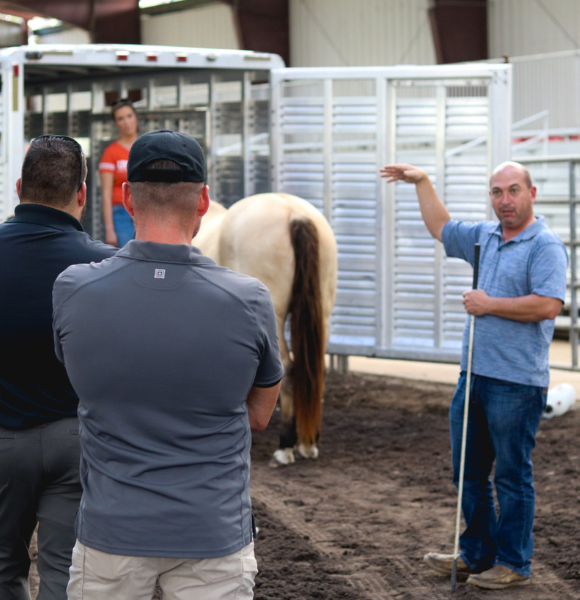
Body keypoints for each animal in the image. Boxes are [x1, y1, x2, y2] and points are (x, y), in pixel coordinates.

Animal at [196, 195, 338, 466]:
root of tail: (294, 213)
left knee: (288, 369)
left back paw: (285, 445)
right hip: (323, 313)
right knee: (316, 372)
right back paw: (308, 443)